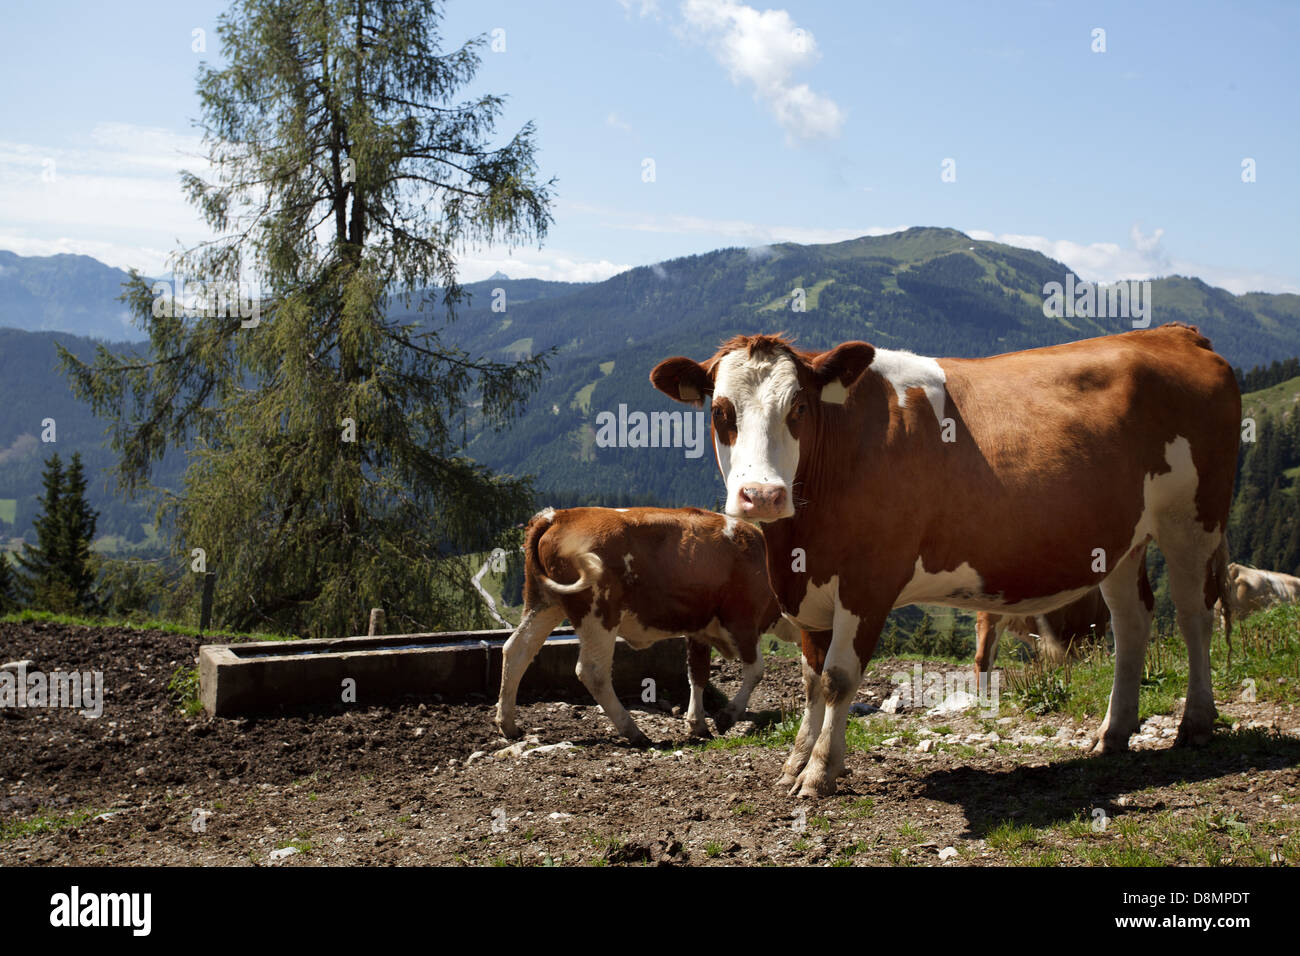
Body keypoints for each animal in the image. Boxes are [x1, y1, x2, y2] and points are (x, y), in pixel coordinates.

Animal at [495, 506, 798, 746]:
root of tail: (558, 515)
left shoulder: (699, 629)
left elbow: (698, 675)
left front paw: (697, 724)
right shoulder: (743, 621)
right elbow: (756, 671)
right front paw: (727, 716)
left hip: (545, 603)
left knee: (517, 650)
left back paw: (508, 725)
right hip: (598, 612)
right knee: (593, 671)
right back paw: (632, 730)